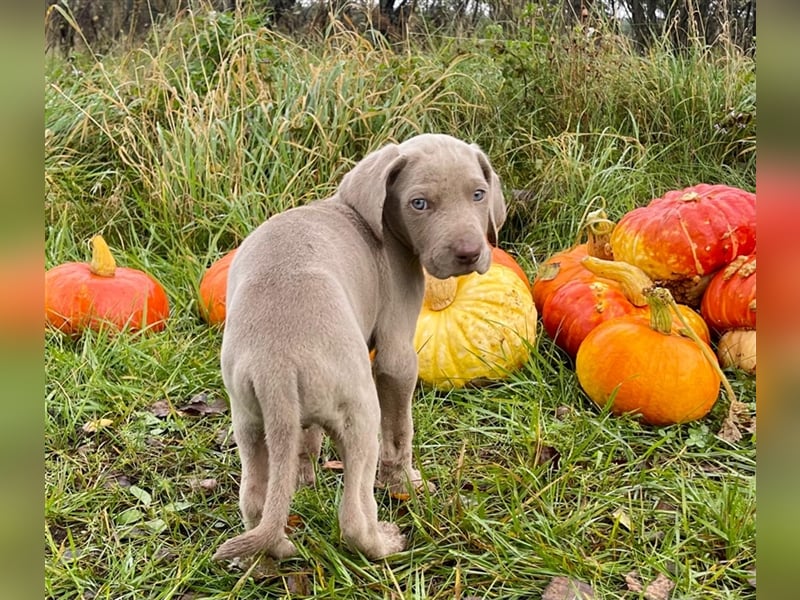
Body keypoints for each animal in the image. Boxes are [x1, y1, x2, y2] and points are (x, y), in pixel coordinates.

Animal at [209, 134, 504, 560]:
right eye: (419, 204)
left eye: (478, 194)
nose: (469, 254)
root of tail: (276, 364)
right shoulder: (397, 354)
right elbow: (400, 432)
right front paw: (405, 485)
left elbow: (305, 439)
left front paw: (303, 476)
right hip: (361, 411)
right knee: (352, 516)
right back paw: (384, 542)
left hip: (249, 419)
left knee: (253, 501)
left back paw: (271, 553)